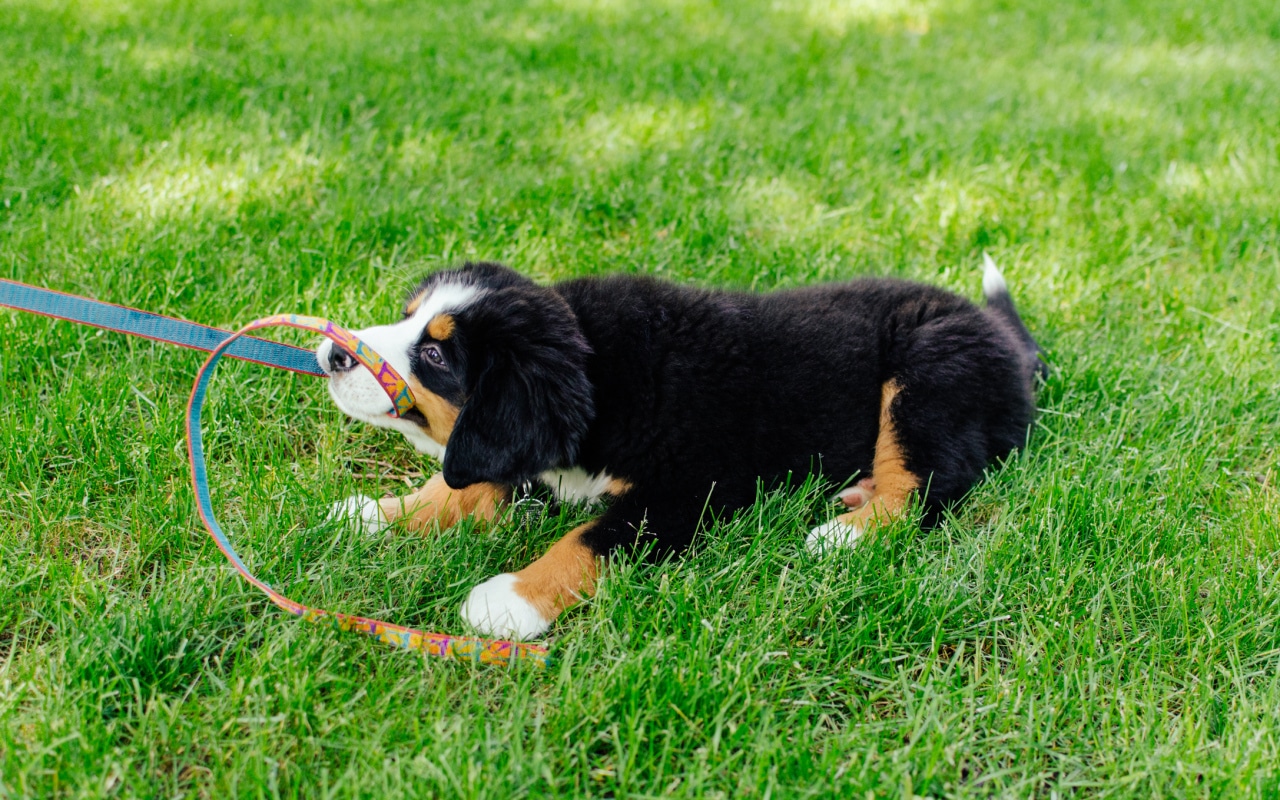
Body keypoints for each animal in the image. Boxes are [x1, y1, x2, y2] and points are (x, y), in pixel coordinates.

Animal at [314, 258, 1044, 640]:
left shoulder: (686, 490)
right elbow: (462, 484)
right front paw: (378, 514)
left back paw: (849, 532)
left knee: (933, 479)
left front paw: (510, 601)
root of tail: (1001, 337)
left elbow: (590, 540)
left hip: (926, 373)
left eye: (436, 354)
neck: (603, 373)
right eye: (407, 316)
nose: (330, 352)